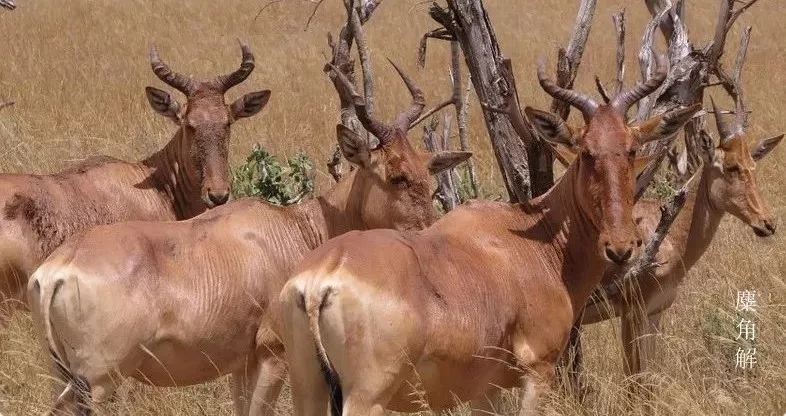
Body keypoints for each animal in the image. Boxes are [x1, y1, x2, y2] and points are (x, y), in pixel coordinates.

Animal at [26, 59, 472, 416]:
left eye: (427, 172)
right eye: (396, 176)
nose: (430, 235)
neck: (292, 227)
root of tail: (56, 270)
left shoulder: (240, 364)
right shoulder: (272, 356)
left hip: (63, 373)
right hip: (100, 380)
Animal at [280, 57, 700, 416]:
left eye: (630, 149)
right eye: (585, 151)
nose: (620, 247)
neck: (531, 244)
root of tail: (321, 280)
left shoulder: (486, 390)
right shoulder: (538, 371)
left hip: (307, 389)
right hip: (367, 397)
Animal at [572, 96, 780, 392]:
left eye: (752, 164)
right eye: (730, 166)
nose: (767, 223)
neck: (662, 230)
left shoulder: (655, 313)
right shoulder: (631, 313)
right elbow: (634, 381)